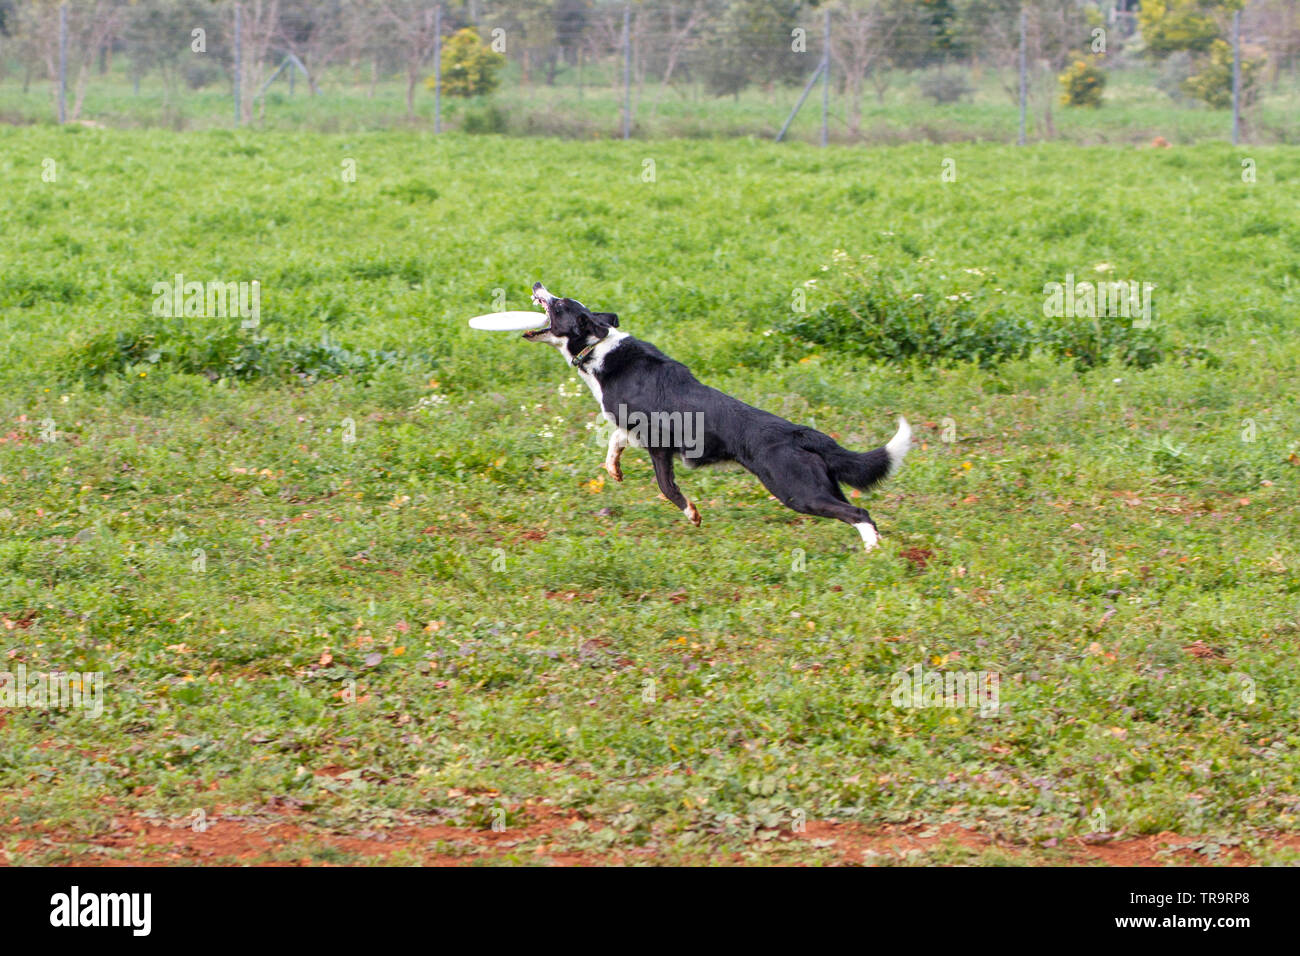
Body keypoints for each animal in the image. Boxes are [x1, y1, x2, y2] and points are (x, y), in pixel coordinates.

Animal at [522, 282, 909, 554]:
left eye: (560, 304)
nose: (538, 284)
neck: (598, 348)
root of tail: (800, 433)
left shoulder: (658, 442)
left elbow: (667, 487)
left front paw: (692, 513)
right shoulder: (633, 429)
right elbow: (616, 441)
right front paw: (614, 468)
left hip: (797, 492)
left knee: (859, 514)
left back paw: (872, 548)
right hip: (820, 486)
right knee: (855, 508)